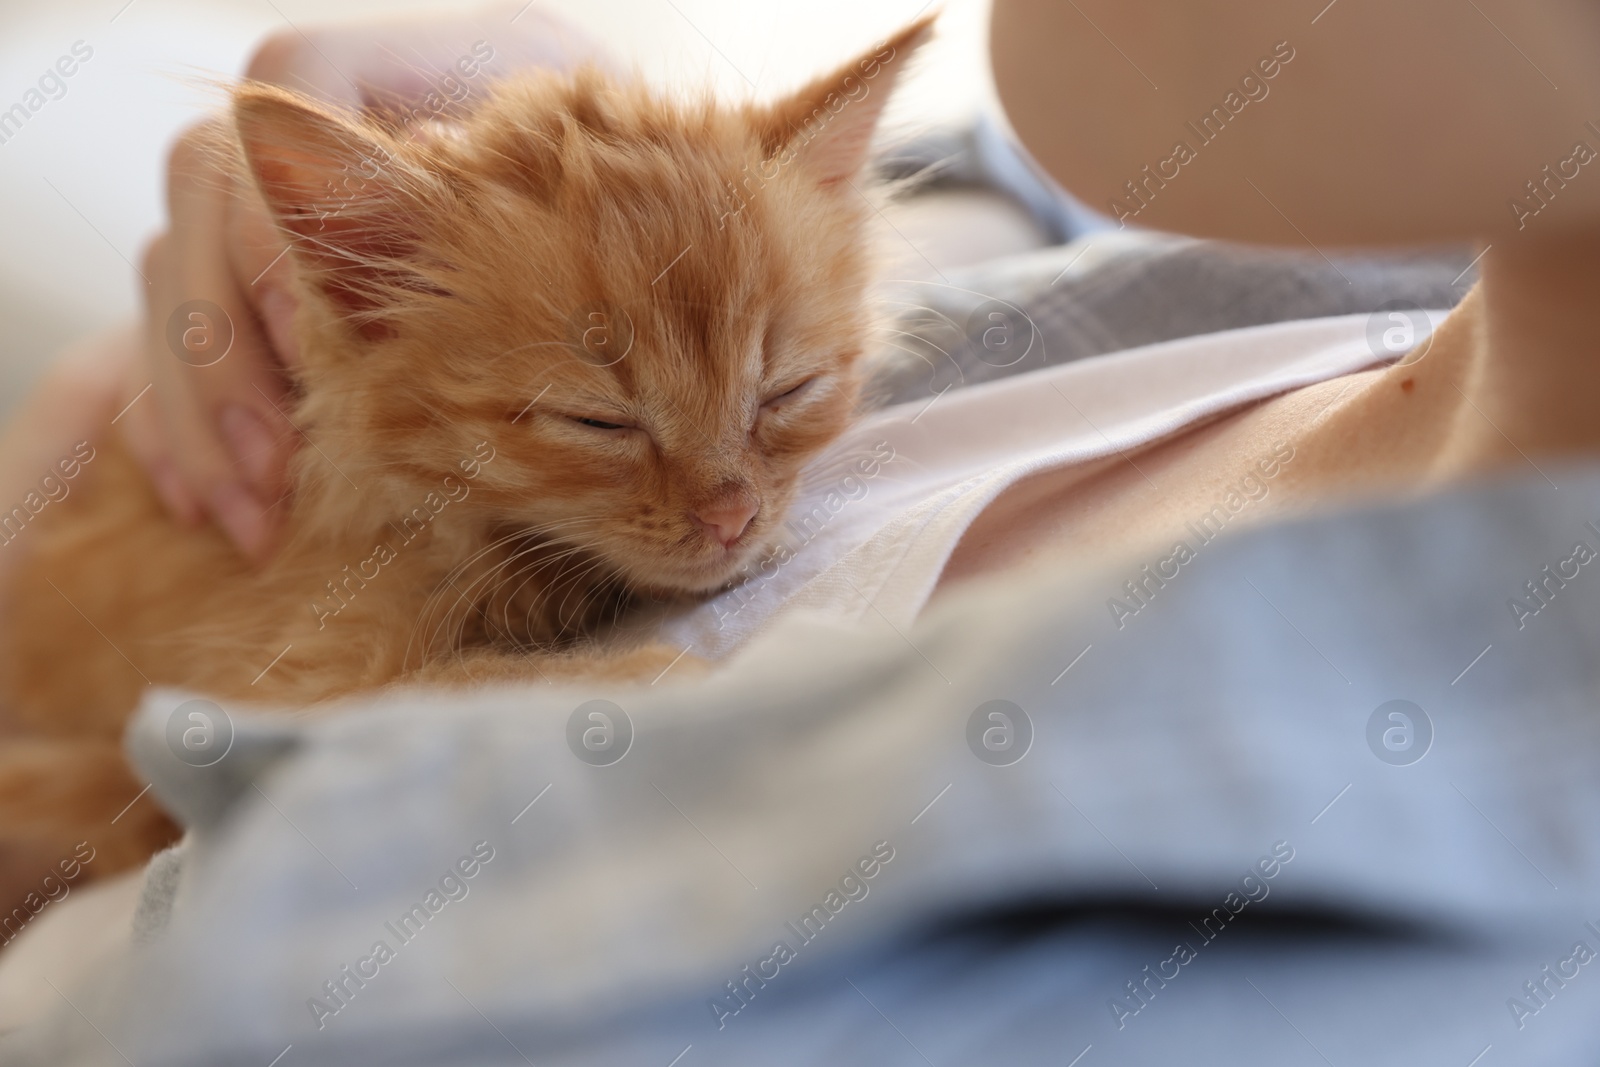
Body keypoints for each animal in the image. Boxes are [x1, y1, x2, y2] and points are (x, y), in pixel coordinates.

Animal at [0, 18, 934, 921]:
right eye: (598, 420)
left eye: (788, 391)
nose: (732, 516)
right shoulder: (250, 700)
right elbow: (457, 694)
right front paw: (649, 674)